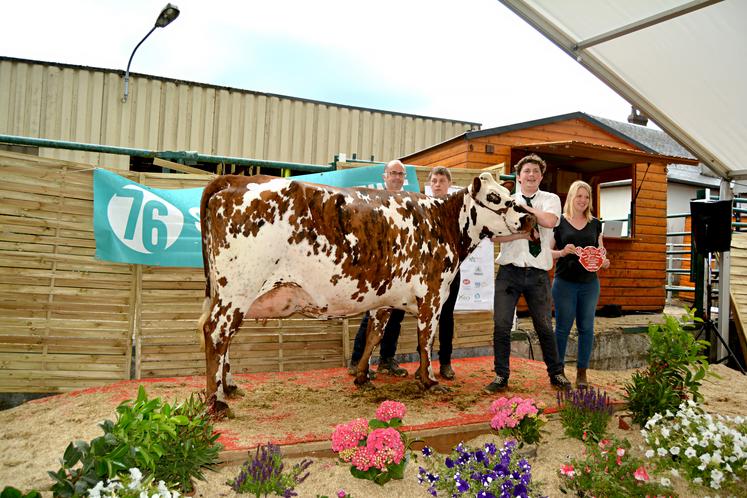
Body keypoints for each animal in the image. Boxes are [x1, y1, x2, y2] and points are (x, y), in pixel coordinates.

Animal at [199, 173, 536, 414]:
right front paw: (429, 381)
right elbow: (425, 341)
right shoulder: (432, 295)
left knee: (222, 337)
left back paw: (228, 387)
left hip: (224, 292)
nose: (528, 218)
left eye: (512, 196)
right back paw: (216, 402)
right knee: (215, 333)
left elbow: (374, 335)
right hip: (238, 289)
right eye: (495, 197)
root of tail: (235, 180)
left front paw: (362, 377)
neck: (442, 223)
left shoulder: (384, 299)